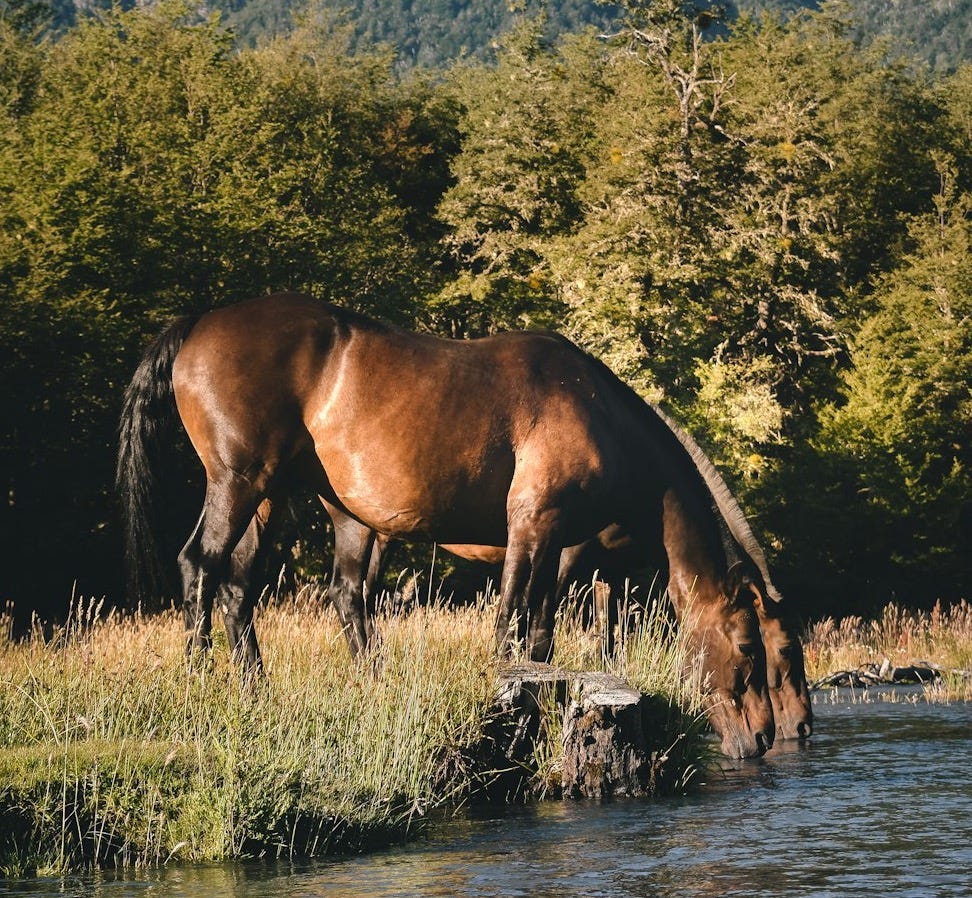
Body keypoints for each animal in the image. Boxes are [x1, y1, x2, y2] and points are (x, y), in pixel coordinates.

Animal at [117, 291, 775, 757]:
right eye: (748, 645)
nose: (765, 735)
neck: (598, 413)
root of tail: (201, 322)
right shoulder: (532, 526)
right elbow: (510, 622)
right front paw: (506, 700)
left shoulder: (558, 543)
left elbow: (541, 634)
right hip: (240, 481)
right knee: (201, 565)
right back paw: (203, 685)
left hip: (289, 503)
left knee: (266, 587)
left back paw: (269, 691)